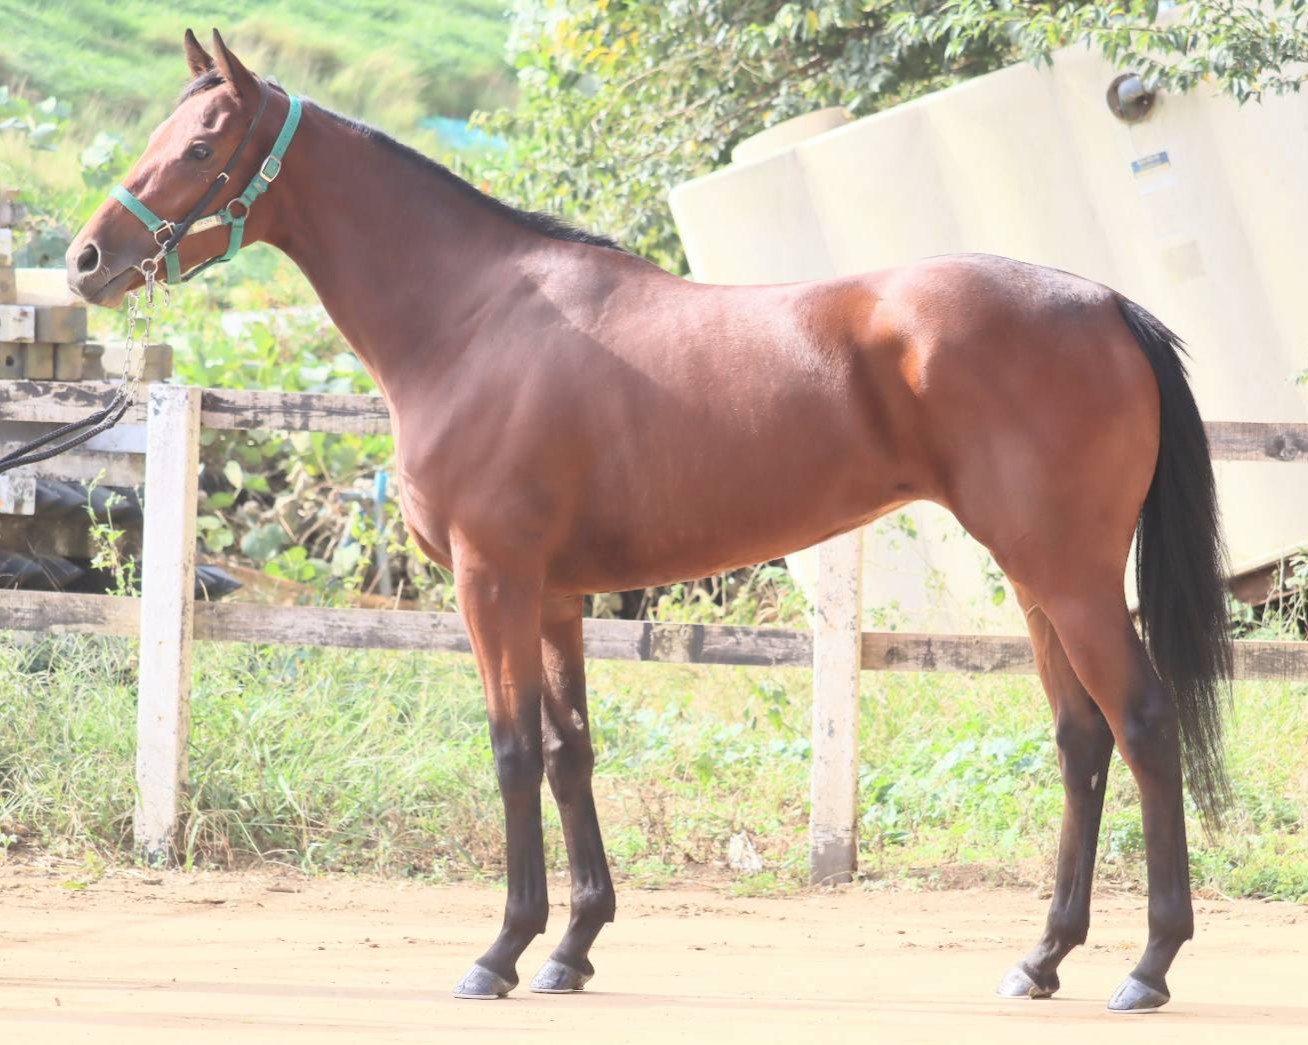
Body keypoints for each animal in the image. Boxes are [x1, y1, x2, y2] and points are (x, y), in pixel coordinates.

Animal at [67, 29, 1231, 1013]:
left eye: (201, 145)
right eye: (161, 134)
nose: (86, 262)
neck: (470, 319)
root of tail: (1104, 303)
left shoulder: (492, 582)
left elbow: (511, 750)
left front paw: (500, 951)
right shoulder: (554, 597)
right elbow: (569, 749)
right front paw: (572, 946)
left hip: (1072, 578)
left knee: (1143, 723)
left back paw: (1148, 965)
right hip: (1037, 581)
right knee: (1082, 740)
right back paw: (1042, 958)